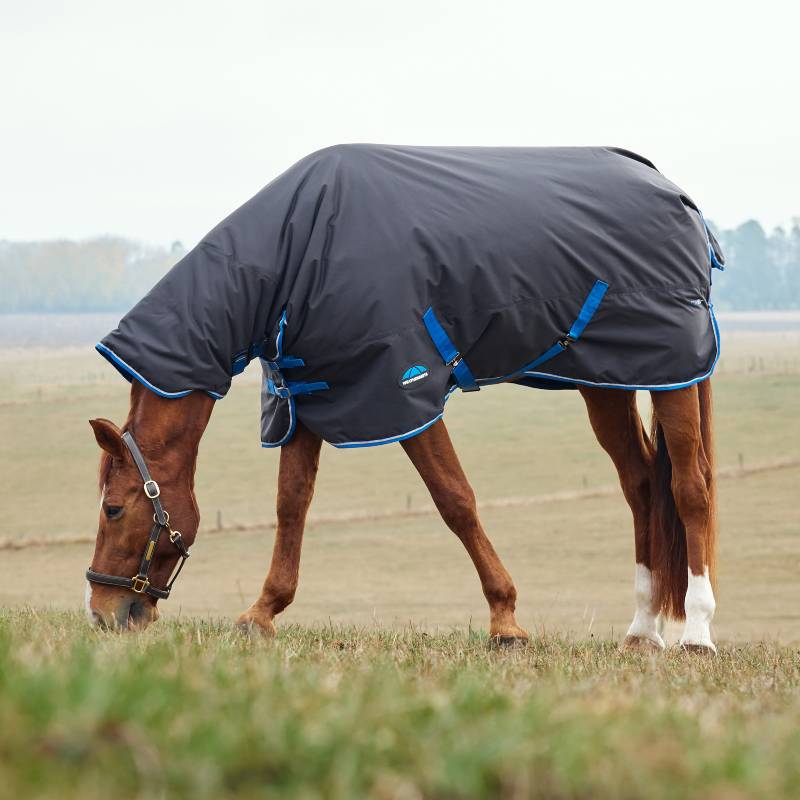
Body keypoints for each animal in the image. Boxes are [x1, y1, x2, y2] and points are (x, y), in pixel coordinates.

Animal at [84, 145, 719, 653]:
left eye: (112, 508)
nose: (103, 613)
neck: (300, 247)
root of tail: (678, 196)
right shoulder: (308, 394)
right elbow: (292, 505)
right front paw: (262, 613)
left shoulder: (402, 395)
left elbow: (454, 500)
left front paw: (505, 620)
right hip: (608, 381)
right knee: (642, 487)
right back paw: (642, 630)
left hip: (675, 374)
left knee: (690, 489)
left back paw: (697, 634)